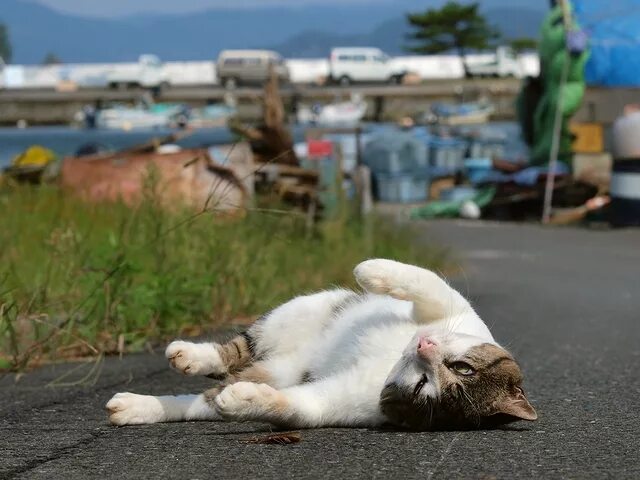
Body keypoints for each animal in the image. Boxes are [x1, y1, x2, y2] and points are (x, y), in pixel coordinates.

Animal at [105, 258, 536, 432]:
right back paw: (190, 355)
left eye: (422, 387)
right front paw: (369, 269)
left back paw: (141, 405)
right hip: (295, 312)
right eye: (463, 366)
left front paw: (243, 401)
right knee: (235, 351)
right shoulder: (450, 307)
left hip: (275, 368)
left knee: (218, 387)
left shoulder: (342, 404)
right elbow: (422, 279)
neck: (390, 363)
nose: (424, 347)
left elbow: (295, 408)